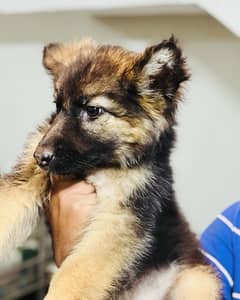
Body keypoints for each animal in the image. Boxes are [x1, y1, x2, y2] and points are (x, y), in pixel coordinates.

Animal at [0, 38, 219, 300]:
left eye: (93, 110)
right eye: (58, 106)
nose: (40, 157)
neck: (98, 165)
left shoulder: (120, 219)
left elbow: (73, 274)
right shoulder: (24, 180)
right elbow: (6, 210)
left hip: (196, 280)